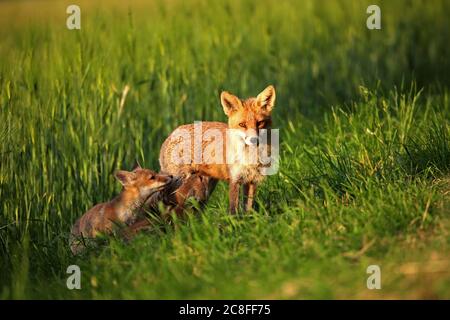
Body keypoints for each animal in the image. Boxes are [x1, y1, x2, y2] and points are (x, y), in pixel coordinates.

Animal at [160, 85, 276, 215]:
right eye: (242, 124)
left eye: (260, 123)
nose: (254, 140)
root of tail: (171, 134)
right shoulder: (235, 179)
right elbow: (233, 211)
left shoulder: (252, 180)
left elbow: (248, 209)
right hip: (181, 182)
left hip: (205, 187)